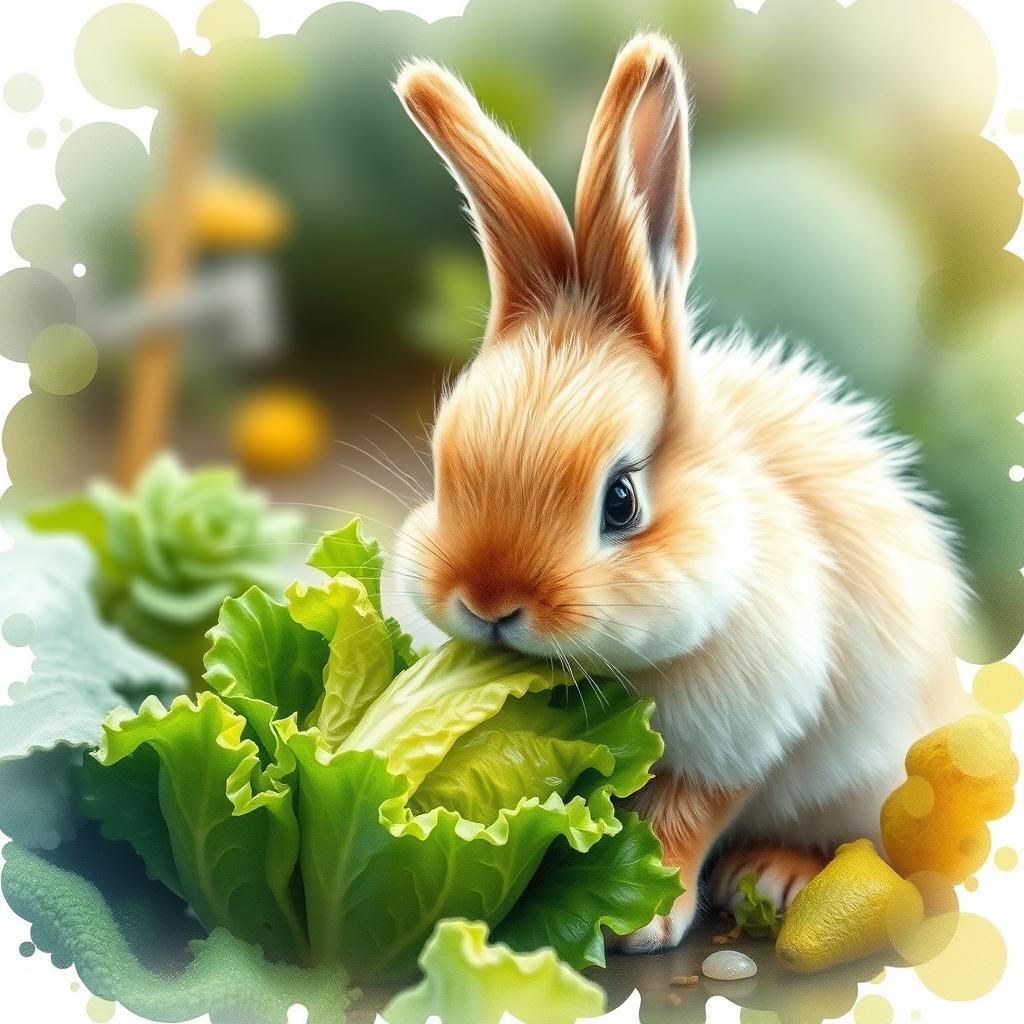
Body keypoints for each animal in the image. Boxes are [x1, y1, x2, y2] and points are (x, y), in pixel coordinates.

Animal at [391, 33, 966, 951]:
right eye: (443, 472)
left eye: (620, 500)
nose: (488, 603)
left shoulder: (743, 733)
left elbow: (689, 815)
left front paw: (648, 917)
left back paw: (773, 876)